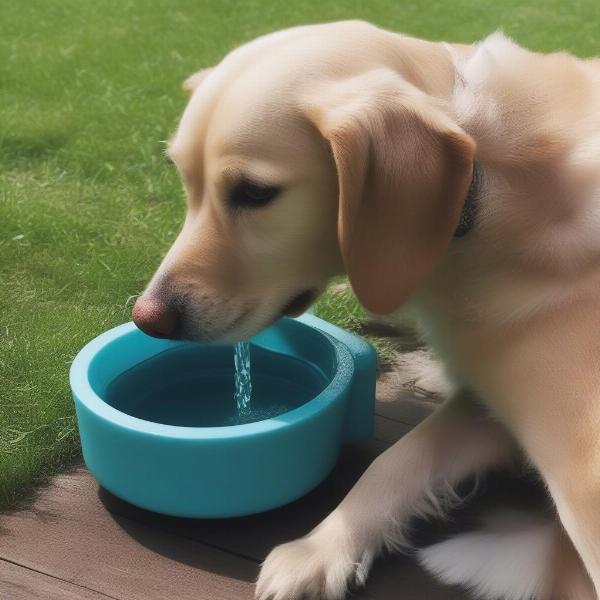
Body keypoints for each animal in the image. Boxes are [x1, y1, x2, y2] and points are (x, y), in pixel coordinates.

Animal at [131, 19, 600, 600]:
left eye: (255, 193)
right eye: (184, 181)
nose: (148, 318)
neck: (490, 185)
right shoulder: (489, 407)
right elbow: (395, 459)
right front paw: (321, 547)